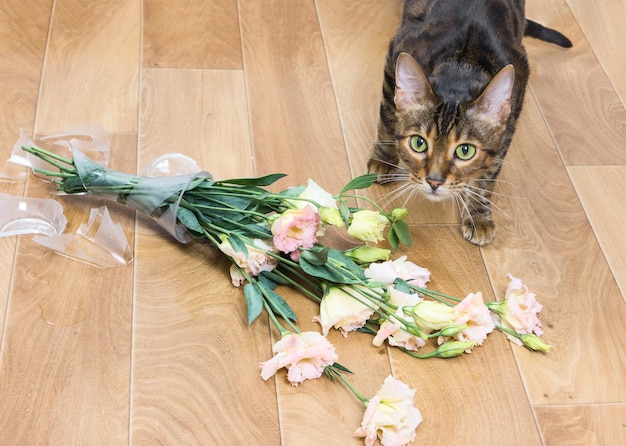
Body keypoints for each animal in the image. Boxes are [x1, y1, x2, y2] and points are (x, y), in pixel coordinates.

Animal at [368, 0, 568, 246]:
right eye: (418, 143)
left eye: (465, 151)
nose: (434, 182)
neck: (462, 65)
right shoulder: (394, 56)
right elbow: (387, 116)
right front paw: (383, 159)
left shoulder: (510, 120)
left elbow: (487, 175)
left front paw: (478, 216)